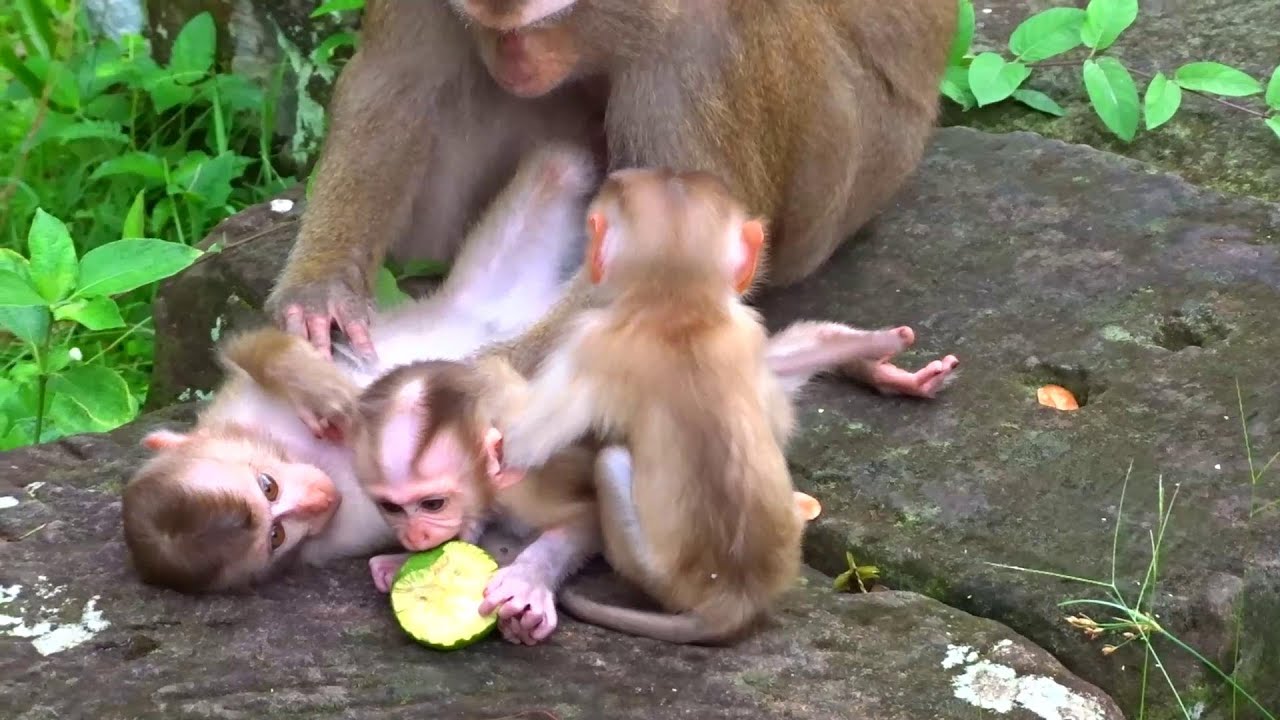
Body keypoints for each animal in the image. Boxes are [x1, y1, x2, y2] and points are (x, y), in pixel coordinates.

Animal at [120, 143, 599, 593]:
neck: (294, 452)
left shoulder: (234, 406)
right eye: (276, 534)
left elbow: (252, 346)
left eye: (267, 485)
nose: (316, 499)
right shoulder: (329, 539)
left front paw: (315, 387)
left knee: (560, 166)